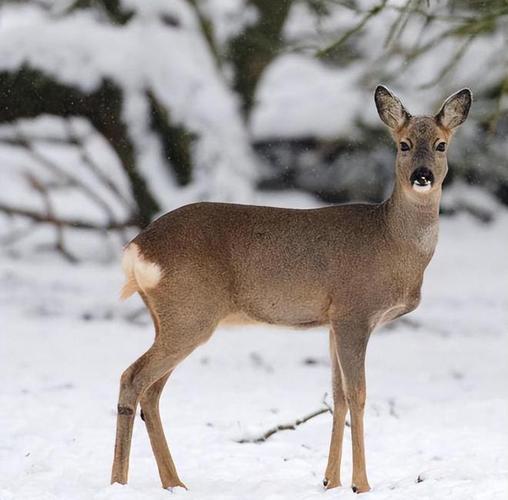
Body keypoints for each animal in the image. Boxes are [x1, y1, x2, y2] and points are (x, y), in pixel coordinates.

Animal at [111, 85, 472, 492]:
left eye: (441, 145)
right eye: (404, 144)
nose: (422, 176)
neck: (393, 243)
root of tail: (137, 249)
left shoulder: (332, 321)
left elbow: (337, 396)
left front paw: (330, 481)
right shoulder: (354, 311)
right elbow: (358, 394)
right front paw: (361, 484)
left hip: (171, 317)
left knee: (152, 391)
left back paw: (175, 483)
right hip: (190, 313)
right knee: (133, 378)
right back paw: (120, 483)